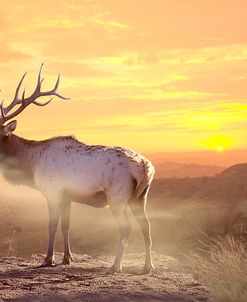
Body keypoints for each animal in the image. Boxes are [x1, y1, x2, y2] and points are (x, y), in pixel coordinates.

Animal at [0, 65, 154, 274]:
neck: (31, 165)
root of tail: (146, 167)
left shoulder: (53, 192)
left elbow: (52, 226)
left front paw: (48, 259)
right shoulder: (68, 196)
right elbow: (66, 226)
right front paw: (67, 258)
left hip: (117, 196)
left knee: (126, 227)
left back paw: (115, 266)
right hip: (140, 197)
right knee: (146, 225)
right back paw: (148, 266)